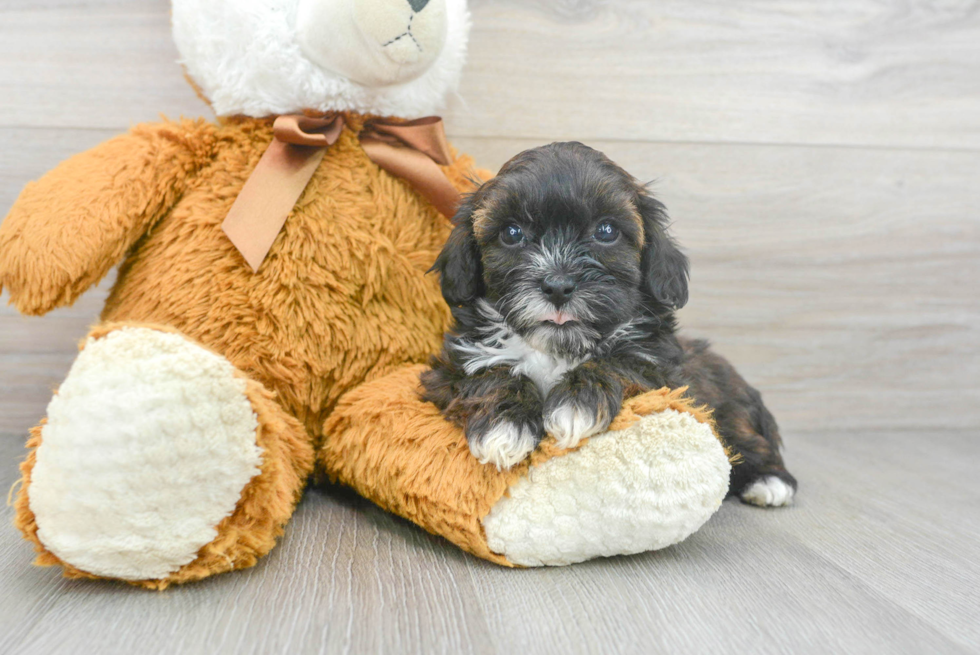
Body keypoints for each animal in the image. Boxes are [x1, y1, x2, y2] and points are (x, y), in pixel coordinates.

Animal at [420, 142, 796, 508]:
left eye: (606, 231)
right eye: (512, 233)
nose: (558, 285)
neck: (558, 346)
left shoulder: (661, 372)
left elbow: (618, 363)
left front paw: (575, 404)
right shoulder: (448, 370)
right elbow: (489, 373)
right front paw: (505, 426)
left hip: (728, 405)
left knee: (744, 438)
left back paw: (769, 481)